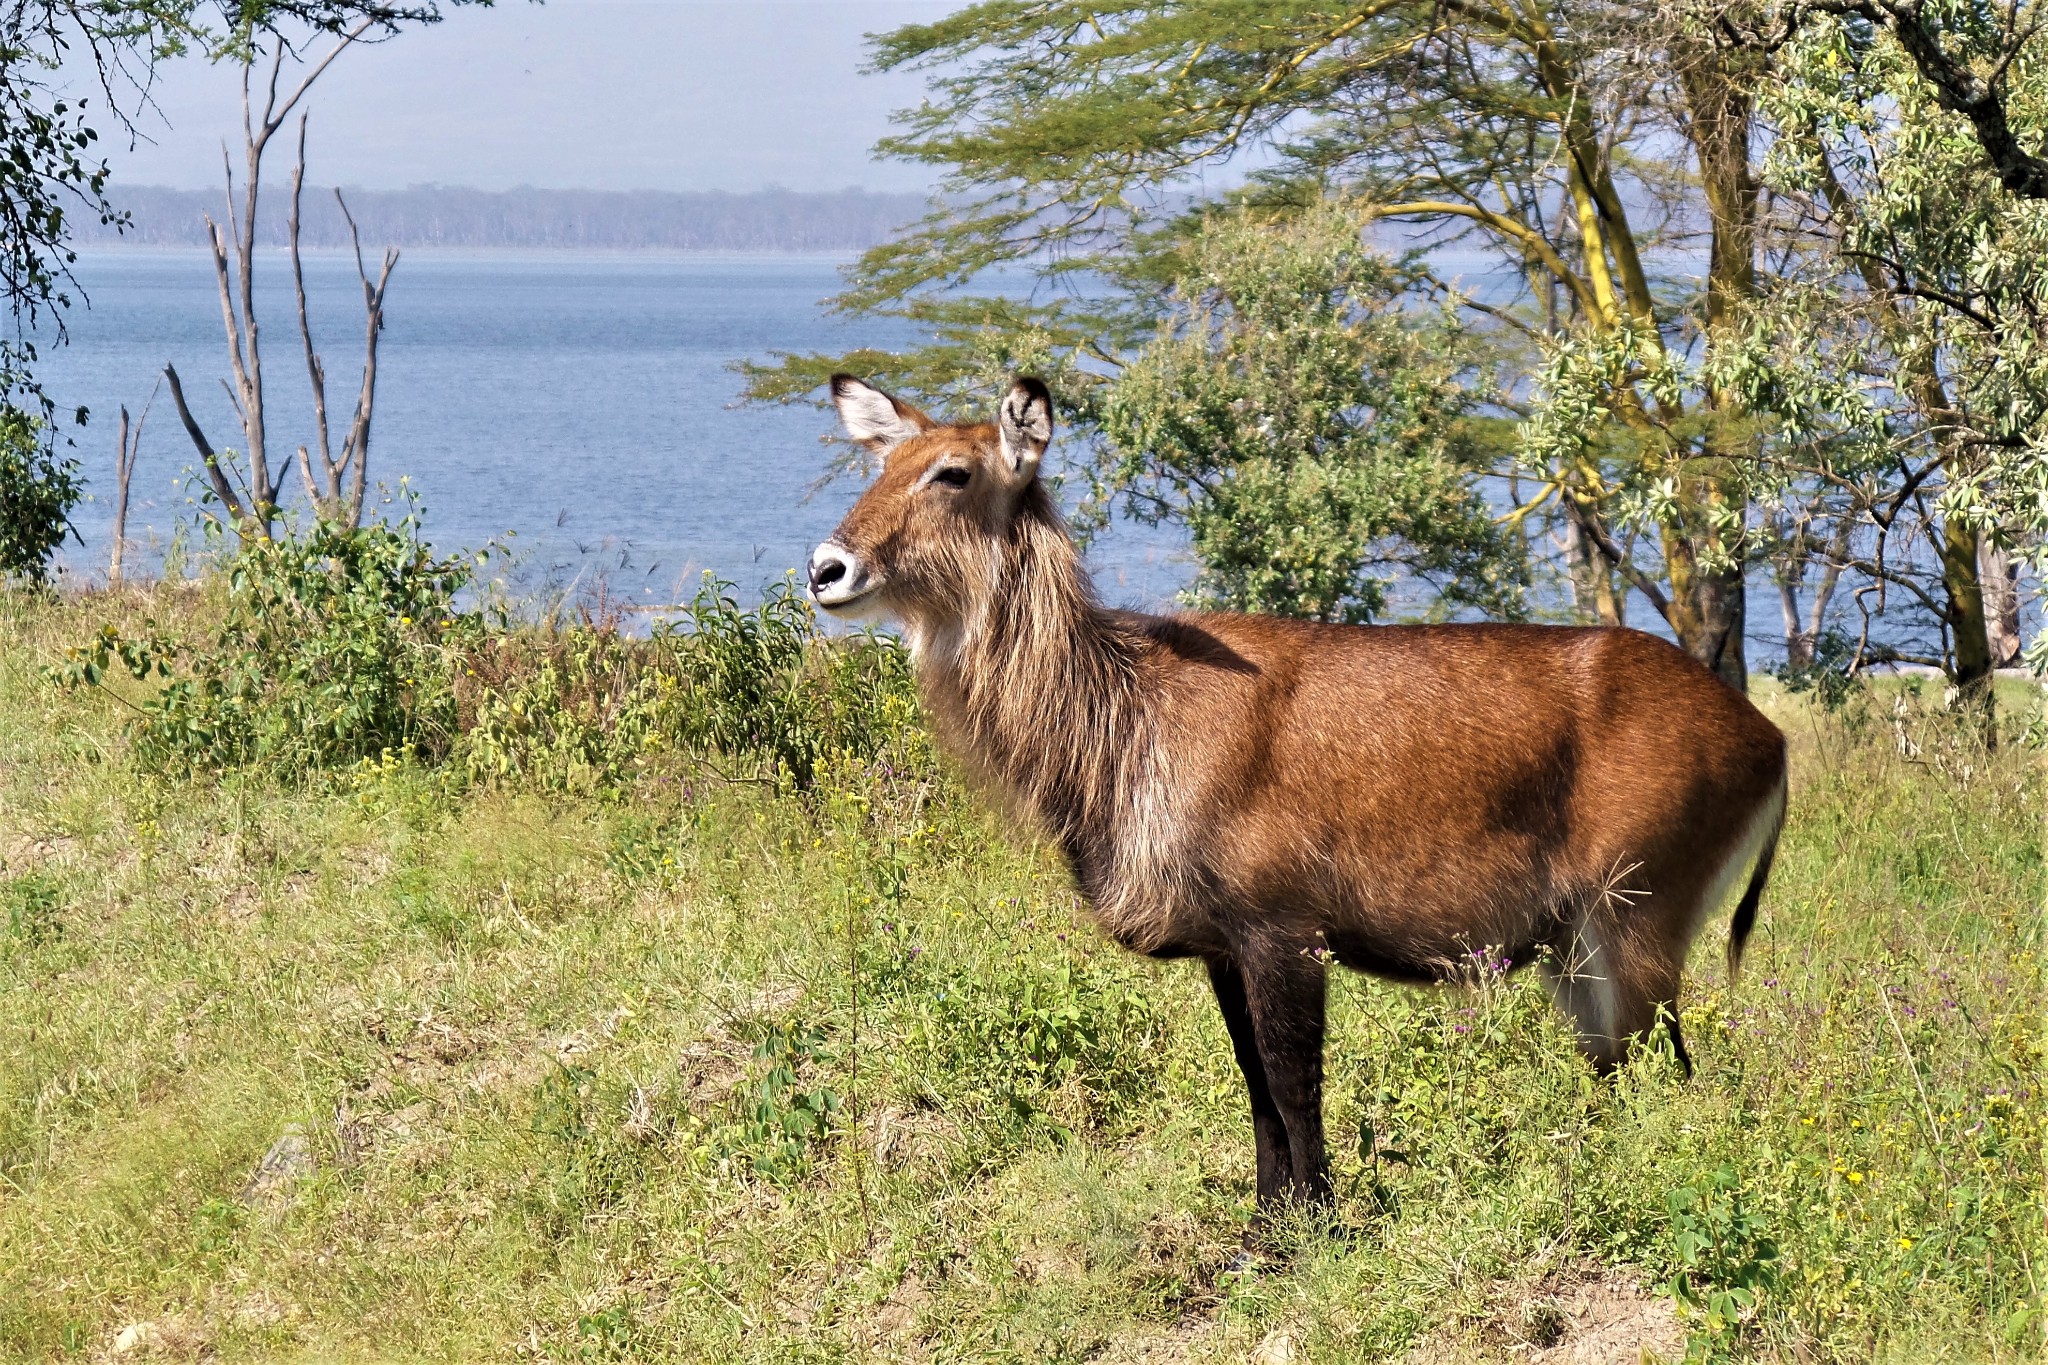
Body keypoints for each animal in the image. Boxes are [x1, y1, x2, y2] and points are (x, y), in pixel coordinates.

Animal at [806, 376, 1785, 1219]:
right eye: (880, 464)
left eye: (953, 471)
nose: (826, 567)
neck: (1131, 715)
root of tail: (1766, 734)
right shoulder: (1223, 945)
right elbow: (1255, 1088)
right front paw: (1264, 1226)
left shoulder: (1284, 930)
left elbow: (1291, 1079)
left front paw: (1313, 1228)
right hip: (1581, 948)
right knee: (1621, 1072)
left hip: (1637, 924)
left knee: (1667, 1069)